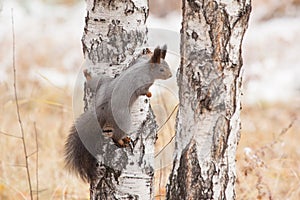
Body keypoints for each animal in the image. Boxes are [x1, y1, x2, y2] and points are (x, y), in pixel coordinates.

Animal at [64, 45, 172, 183]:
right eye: (162, 69)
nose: (170, 75)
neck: (146, 68)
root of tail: (103, 109)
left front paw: (148, 52)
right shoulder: (141, 82)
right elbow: (142, 91)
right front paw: (149, 94)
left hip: (104, 82)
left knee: (96, 82)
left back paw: (88, 76)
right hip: (123, 118)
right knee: (116, 135)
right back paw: (121, 141)